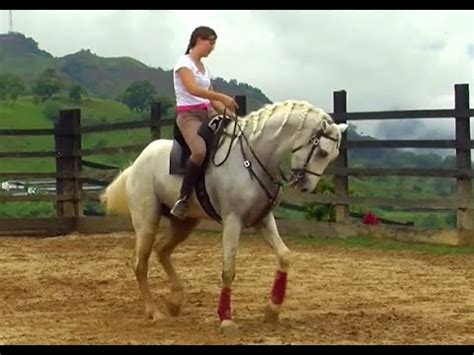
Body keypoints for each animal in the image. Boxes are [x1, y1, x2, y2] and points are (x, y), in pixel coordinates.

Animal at [101, 101, 348, 336]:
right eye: (322, 152)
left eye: (333, 155)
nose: (305, 186)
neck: (252, 158)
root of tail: (137, 163)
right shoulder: (232, 220)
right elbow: (228, 269)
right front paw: (226, 319)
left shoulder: (263, 220)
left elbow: (285, 256)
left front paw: (272, 309)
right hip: (147, 222)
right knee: (140, 265)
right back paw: (154, 312)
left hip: (184, 223)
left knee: (162, 250)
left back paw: (175, 301)